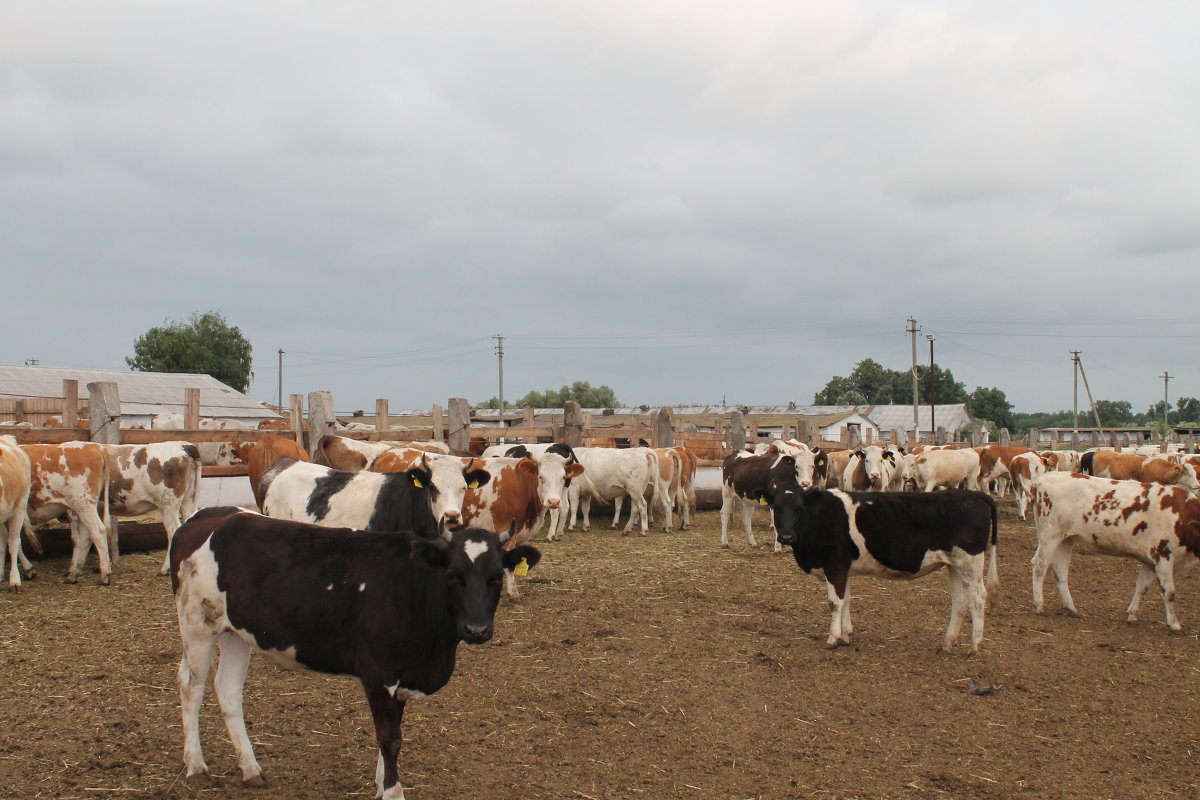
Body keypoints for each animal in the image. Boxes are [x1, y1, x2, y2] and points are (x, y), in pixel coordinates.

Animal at [171, 506, 542, 800]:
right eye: (453, 575)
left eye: (496, 578)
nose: (476, 629)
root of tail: (214, 515)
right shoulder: (379, 674)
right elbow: (390, 739)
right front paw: (393, 792)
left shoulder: (403, 674)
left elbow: (391, 734)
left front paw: (381, 785)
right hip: (197, 624)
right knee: (192, 686)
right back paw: (196, 765)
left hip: (235, 632)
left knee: (228, 690)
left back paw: (250, 768)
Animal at [1032, 470, 1200, 633]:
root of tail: (1042, 479)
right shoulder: (1163, 556)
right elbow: (1169, 593)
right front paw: (1174, 624)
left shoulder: (1150, 561)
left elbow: (1142, 587)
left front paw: (1132, 615)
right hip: (1049, 535)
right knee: (1039, 566)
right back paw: (1039, 604)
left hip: (1066, 539)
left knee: (1060, 571)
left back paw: (1071, 608)